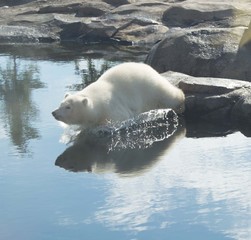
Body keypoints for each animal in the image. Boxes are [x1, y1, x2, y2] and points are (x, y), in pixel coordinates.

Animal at [51, 62, 184, 127]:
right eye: (61, 104)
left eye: (68, 107)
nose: (54, 113)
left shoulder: (112, 107)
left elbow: (120, 118)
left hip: (152, 87)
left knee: (168, 95)